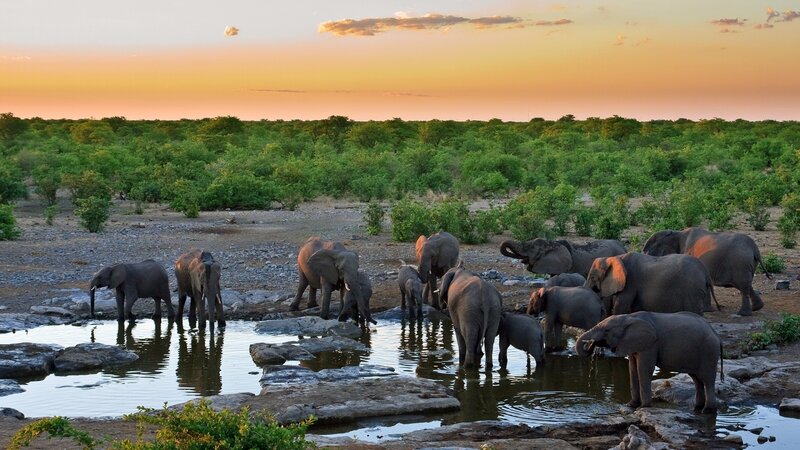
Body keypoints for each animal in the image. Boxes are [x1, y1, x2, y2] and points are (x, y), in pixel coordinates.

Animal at [576, 311, 723, 413]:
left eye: (607, 330)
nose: (591, 345)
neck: (629, 317)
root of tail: (716, 334)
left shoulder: (651, 344)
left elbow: (643, 369)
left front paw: (644, 407)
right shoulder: (632, 343)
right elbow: (632, 368)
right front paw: (630, 405)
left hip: (709, 351)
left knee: (707, 379)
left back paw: (707, 411)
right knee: (697, 380)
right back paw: (697, 409)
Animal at [584, 252, 718, 316]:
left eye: (593, 277)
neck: (616, 257)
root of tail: (705, 272)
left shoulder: (630, 282)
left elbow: (620, 306)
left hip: (692, 291)